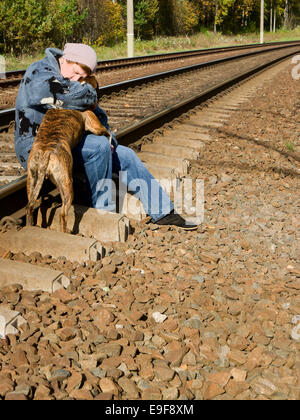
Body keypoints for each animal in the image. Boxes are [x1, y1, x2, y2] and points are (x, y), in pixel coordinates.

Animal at [26, 75, 109, 233]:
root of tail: (46, 154)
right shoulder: (94, 124)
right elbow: (106, 132)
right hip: (67, 185)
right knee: (63, 214)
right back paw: (67, 231)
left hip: (32, 181)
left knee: (30, 207)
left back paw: (31, 224)